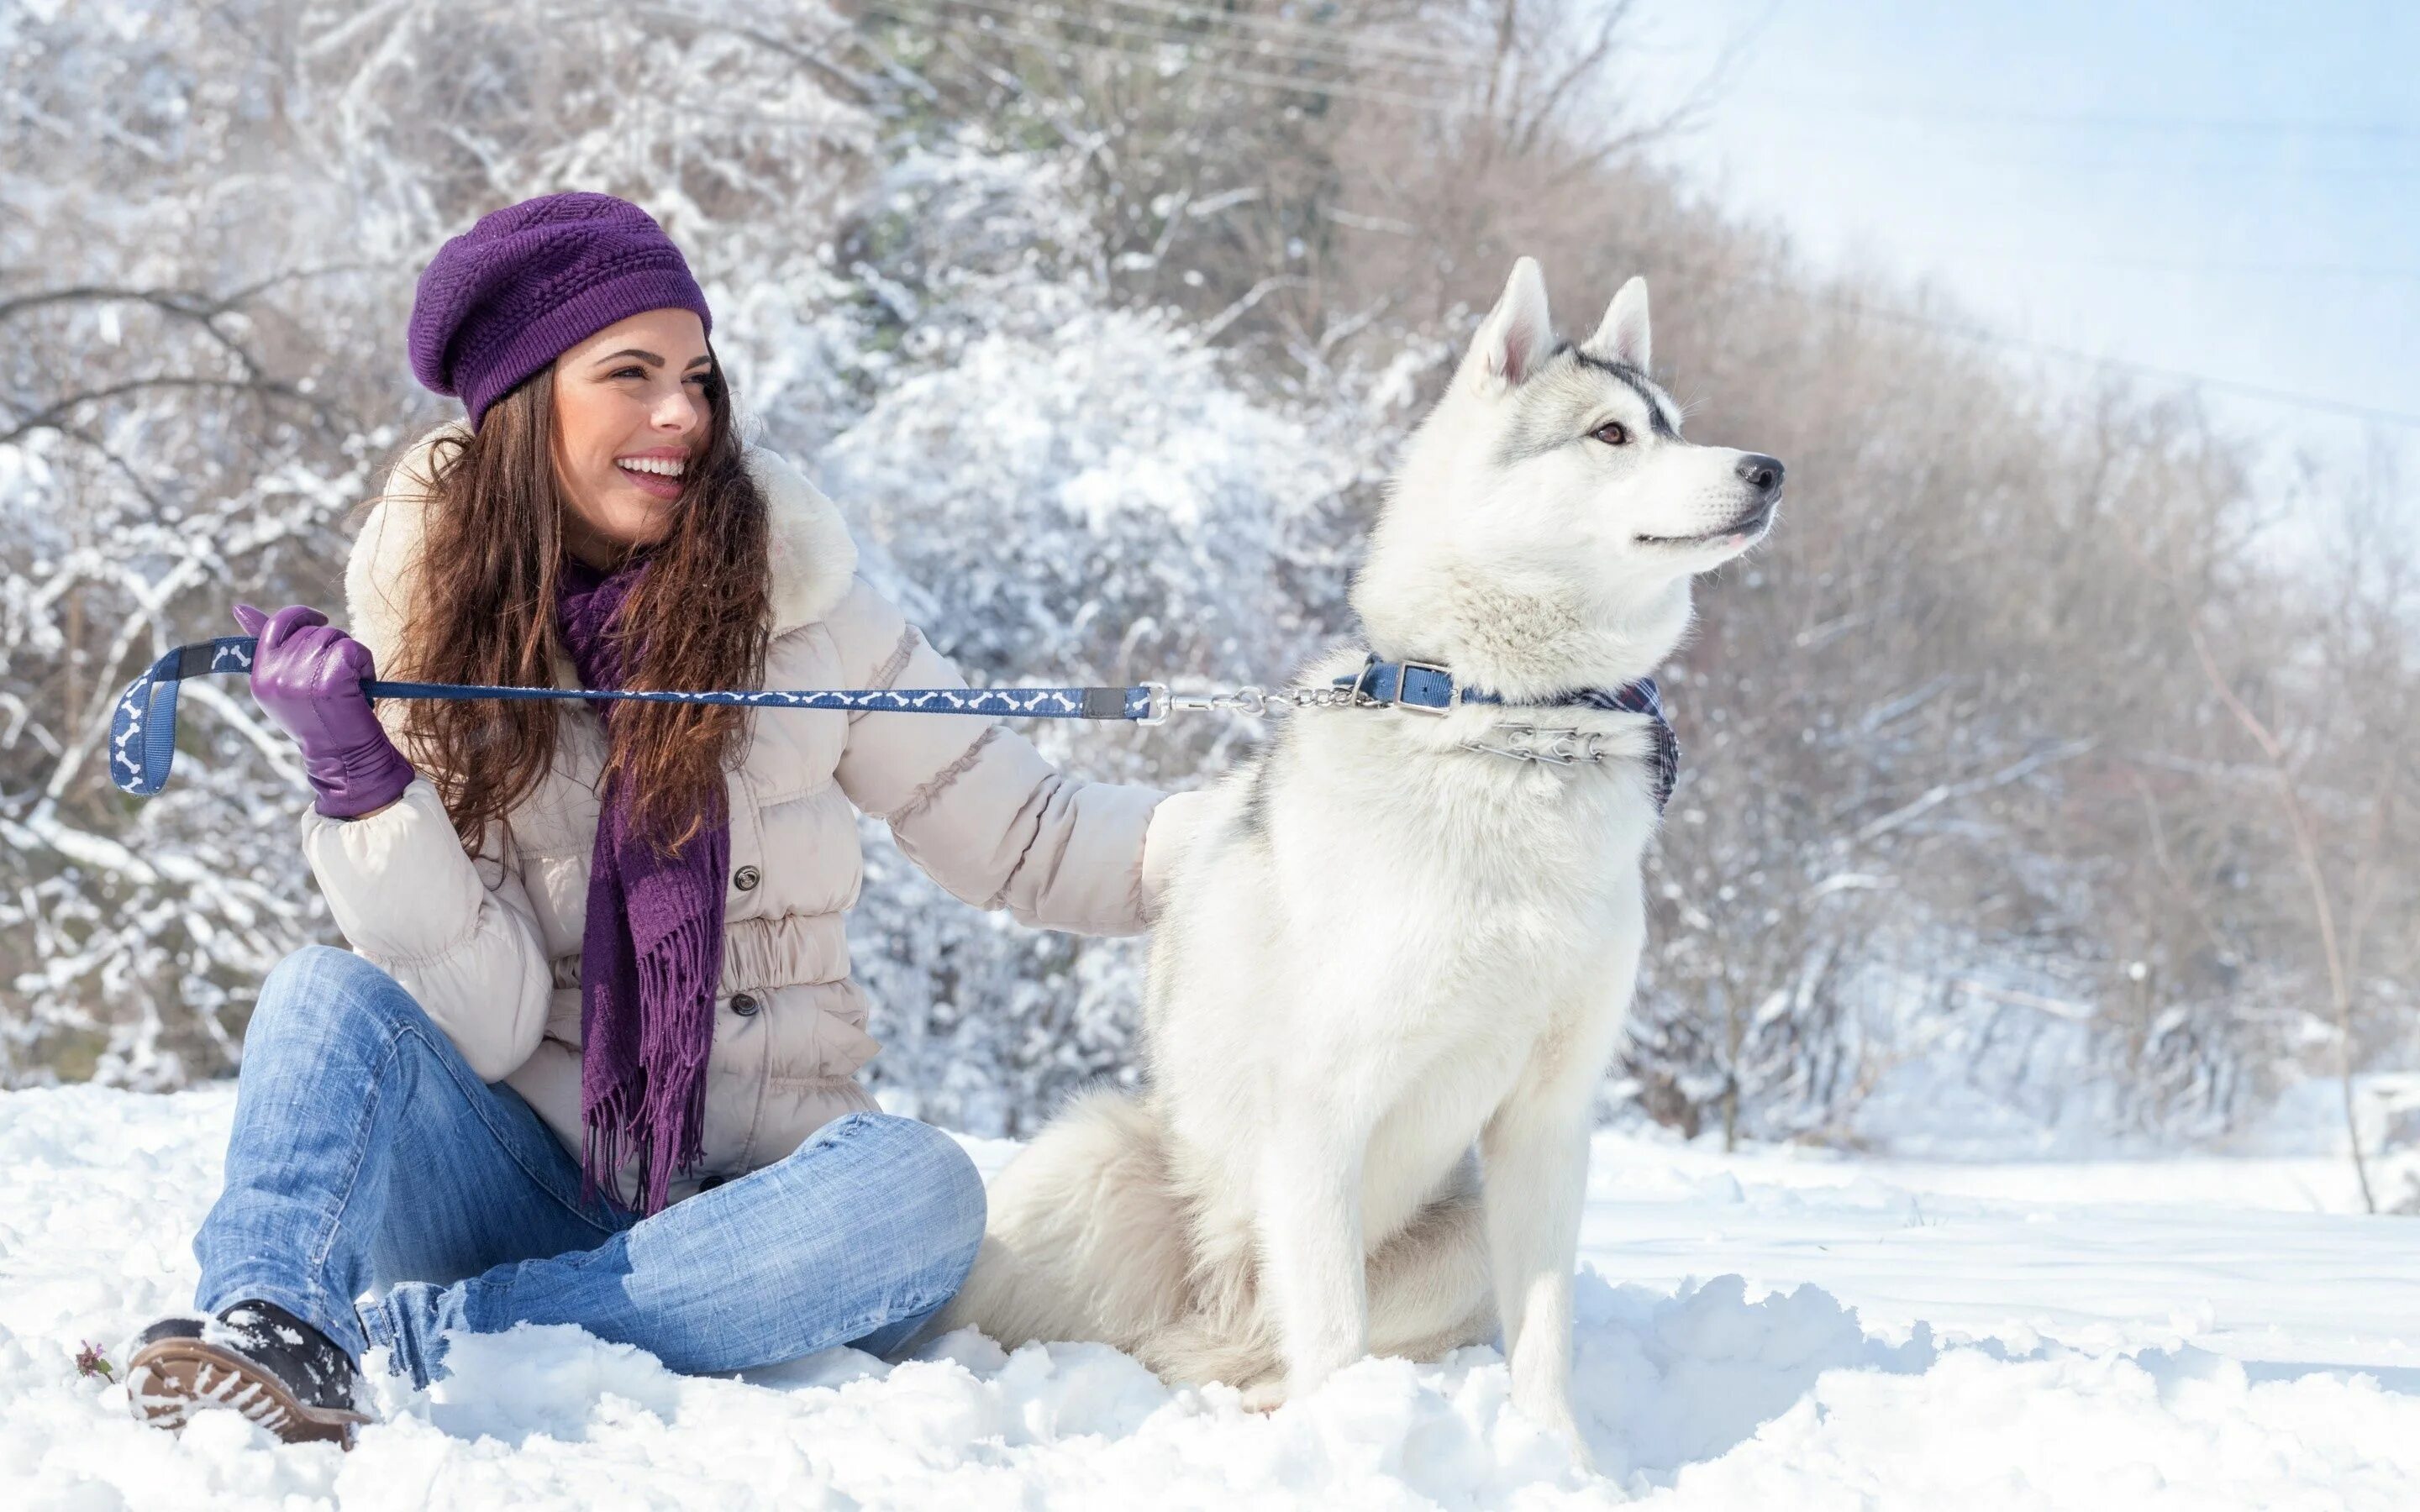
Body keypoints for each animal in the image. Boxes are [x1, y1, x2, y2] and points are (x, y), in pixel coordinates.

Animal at [934, 256, 1791, 1461]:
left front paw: (1560, 1463)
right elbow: (1332, 1327)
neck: (1509, 731)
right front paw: (1357, 1452)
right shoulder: (1319, 1109)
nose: (1768, 469)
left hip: (1457, 1239)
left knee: (1270, 1358)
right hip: (1088, 1165)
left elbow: (1543, 1337)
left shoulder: (1549, 1121)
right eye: (1612, 434)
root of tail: (1211, 1321)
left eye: (1678, 422)